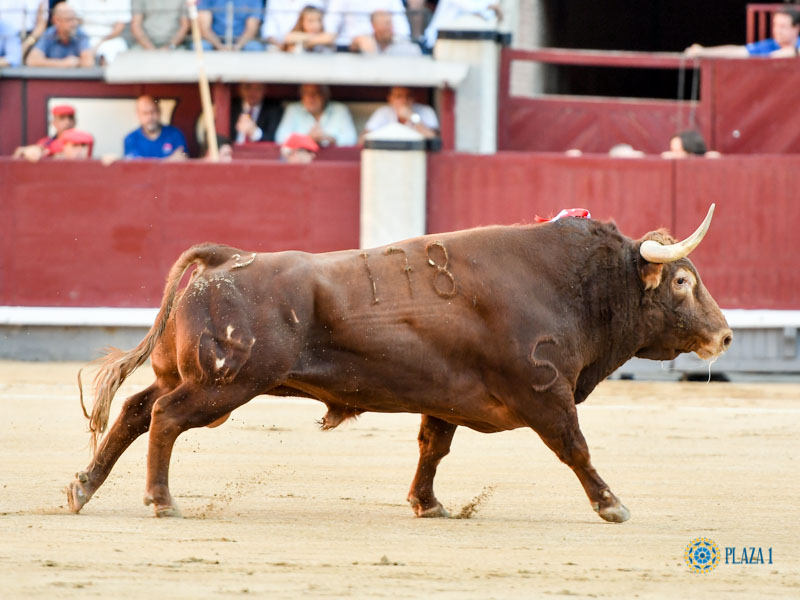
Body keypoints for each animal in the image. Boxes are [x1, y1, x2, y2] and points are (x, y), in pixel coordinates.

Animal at [67, 205, 732, 520]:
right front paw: (612, 505)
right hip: (223, 386)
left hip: (188, 375)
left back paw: (82, 487)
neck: (573, 285)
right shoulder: (546, 394)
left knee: (135, 412)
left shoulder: (447, 399)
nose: (725, 336)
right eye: (681, 281)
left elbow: (432, 449)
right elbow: (575, 447)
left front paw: (428, 504)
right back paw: (160, 500)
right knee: (165, 420)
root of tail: (225, 258)